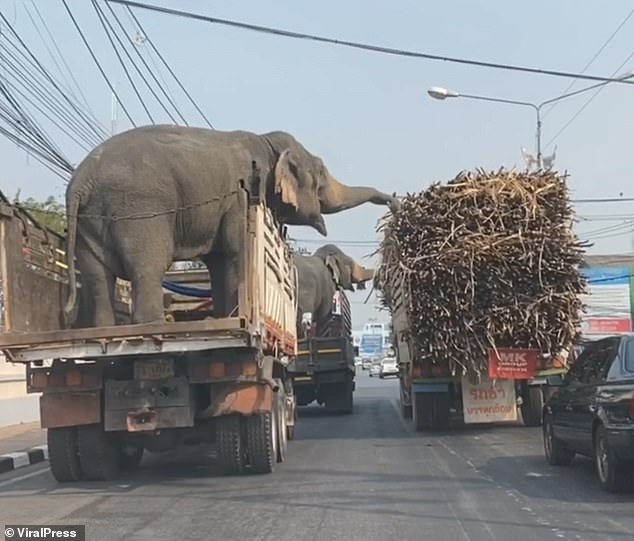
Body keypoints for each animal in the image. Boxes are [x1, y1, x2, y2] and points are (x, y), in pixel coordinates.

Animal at [64, 126, 400, 326]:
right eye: (320, 172)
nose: (394, 202)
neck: (267, 142)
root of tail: (81, 181)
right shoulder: (243, 194)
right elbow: (236, 255)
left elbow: (219, 261)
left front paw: (224, 318)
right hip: (140, 210)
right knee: (148, 268)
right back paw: (153, 327)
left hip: (91, 221)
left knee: (97, 277)